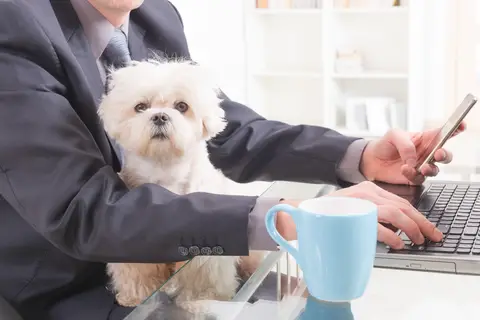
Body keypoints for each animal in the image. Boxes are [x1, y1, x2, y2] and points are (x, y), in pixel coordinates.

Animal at [97, 58, 260, 308]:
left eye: (182, 106)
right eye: (141, 107)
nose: (160, 116)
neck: (165, 171)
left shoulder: (205, 258)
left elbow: (202, 278)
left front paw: (203, 298)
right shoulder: (129, 243)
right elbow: (137, 272)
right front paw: (135, 297)